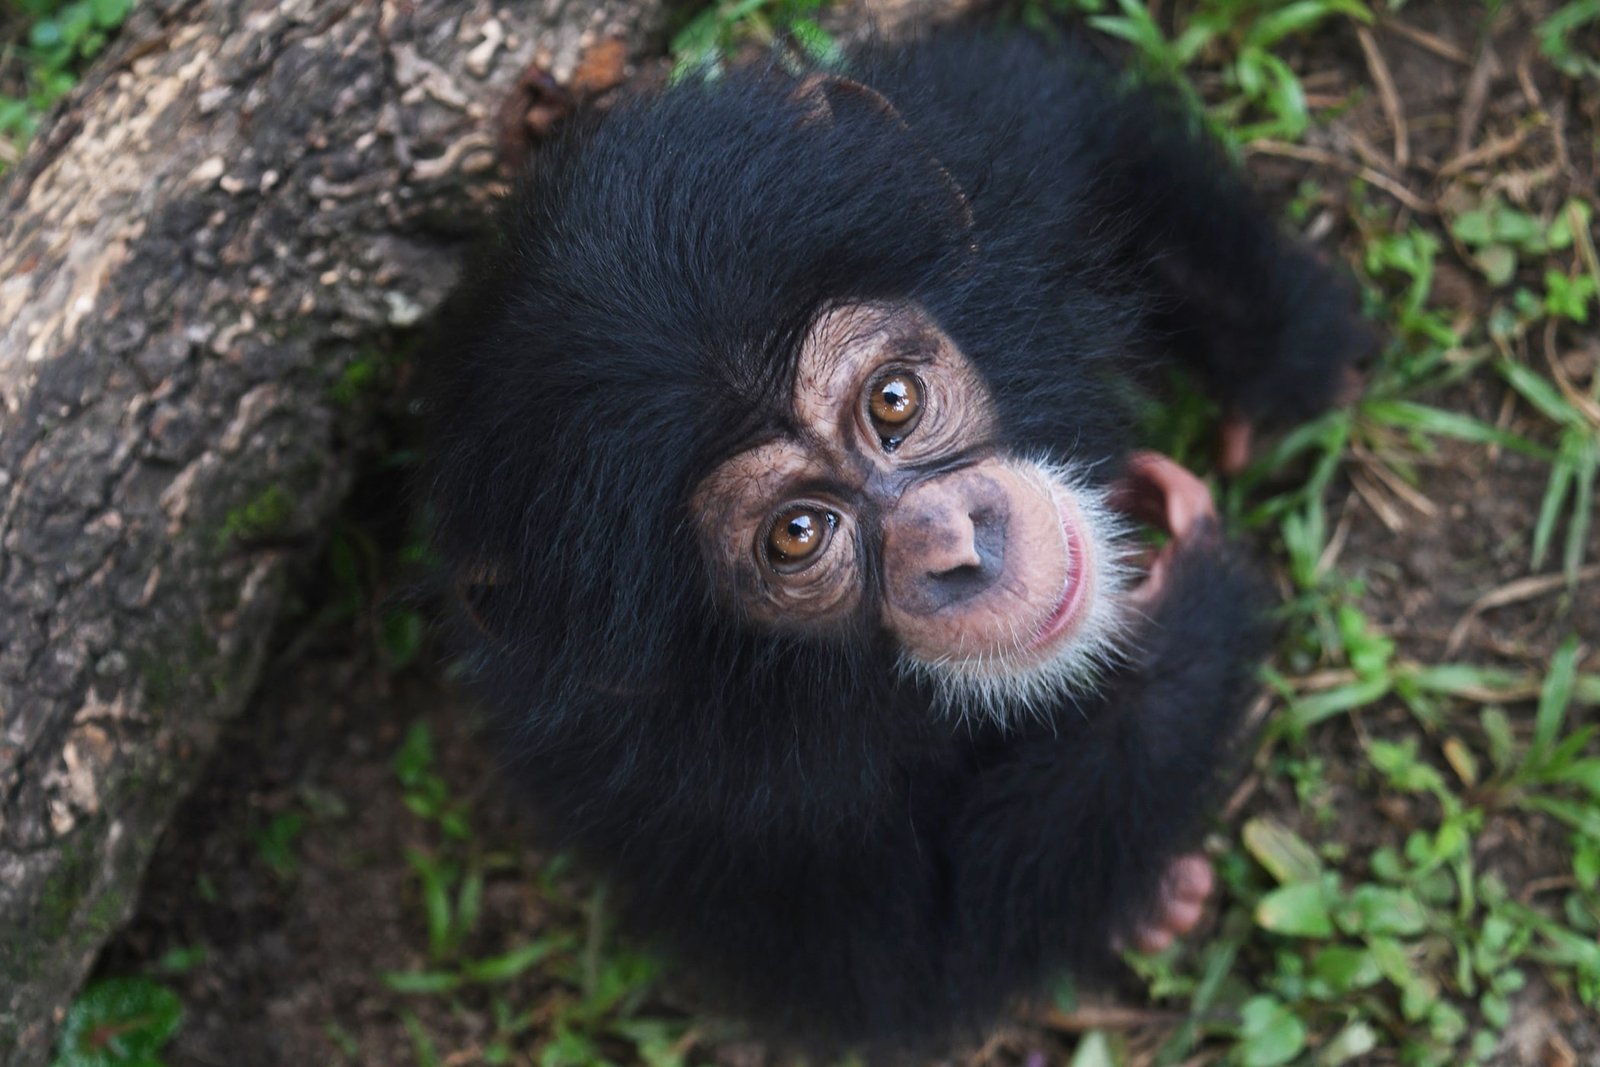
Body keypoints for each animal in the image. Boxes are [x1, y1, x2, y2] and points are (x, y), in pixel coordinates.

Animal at [424, 24, 1368, 1057]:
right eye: (797, 534)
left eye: (893, 402)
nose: (953, 539)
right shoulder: (694, 800)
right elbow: (925, 950)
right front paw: (1183, 606)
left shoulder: (994, 143)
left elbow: (1103, 146)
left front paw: (1275, 374)